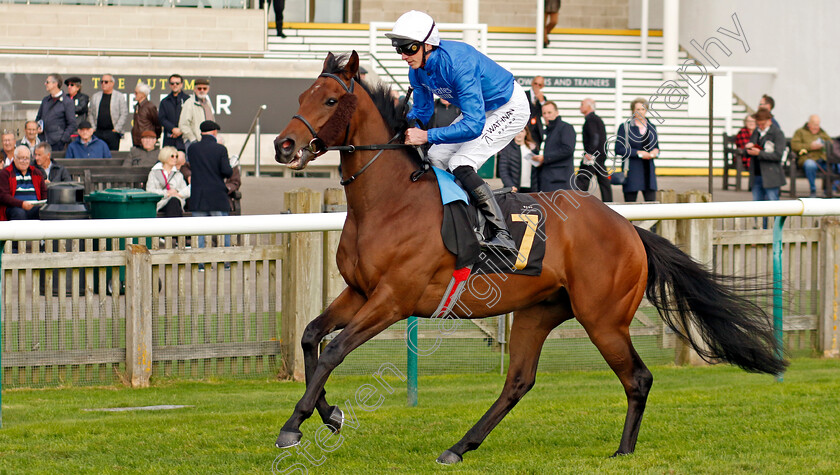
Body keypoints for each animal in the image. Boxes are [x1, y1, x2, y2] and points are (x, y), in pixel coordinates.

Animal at [270, 52, 788, 464]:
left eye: (330, 101)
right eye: (302, 95)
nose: (284, 145)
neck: (390, 201)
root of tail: (628, 228)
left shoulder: (394, 299)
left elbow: (334, 350)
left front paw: (294, 425)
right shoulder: (360, 291)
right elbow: (311, 337)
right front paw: (330, 415)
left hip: (603, 318)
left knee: (637, 378)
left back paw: (623, 451)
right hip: (538, 312)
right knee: (518, 381)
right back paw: (459, 446)